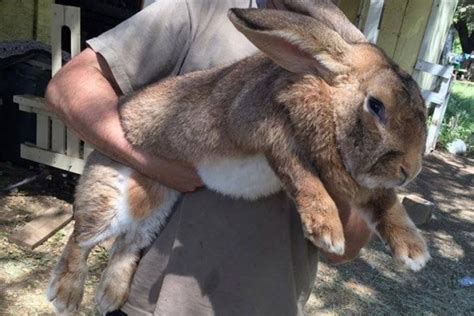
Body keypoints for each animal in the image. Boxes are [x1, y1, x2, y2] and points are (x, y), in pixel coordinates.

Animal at [47, 3, 430, 314]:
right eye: (376, 105)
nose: (410, 170)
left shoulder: (363, 183)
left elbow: (386, 202)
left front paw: (414, 252)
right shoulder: (269, 133)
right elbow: (302, 175)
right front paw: (327, 232)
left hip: (156, 207)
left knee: (127, 245)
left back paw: (109, 297)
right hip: (111, 195)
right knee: (82, 238)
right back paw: (65, 297)